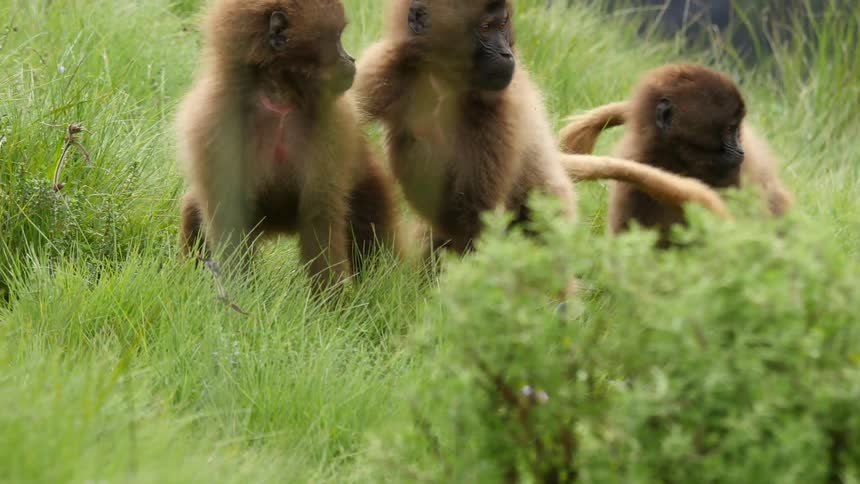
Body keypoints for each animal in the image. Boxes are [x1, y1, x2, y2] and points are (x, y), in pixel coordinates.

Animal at [176, 0, 400, 289]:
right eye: (337, 38)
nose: (351, 60)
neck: (279, 97)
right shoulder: (212, 121)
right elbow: (228, 217)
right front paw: (239, 292)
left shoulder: (333, 124)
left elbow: (320, 217)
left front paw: (331, 300)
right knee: (195, 211)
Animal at [353, 0, 730, 258]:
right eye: (486, 28)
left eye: (502, 25)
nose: (506, 54)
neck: (443, 82)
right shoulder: (385, 70)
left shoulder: (501, 110)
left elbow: (476, 215)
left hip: (549, 201)